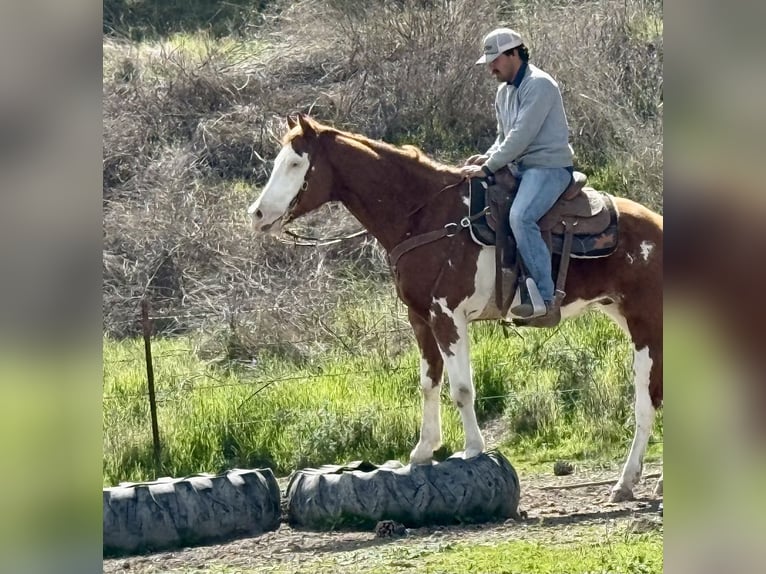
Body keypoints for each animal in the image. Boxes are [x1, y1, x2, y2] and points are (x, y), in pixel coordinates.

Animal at [249, 115, 664, 502]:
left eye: (295, 163)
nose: (256, 214)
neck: (424, 216)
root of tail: (658, 223)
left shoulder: (448, 316)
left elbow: (462, 388)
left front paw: (473, 450)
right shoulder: (420, 318)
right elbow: (429, 383)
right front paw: (423, 451)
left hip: (646, 325)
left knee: (647, 403)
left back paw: (626, 483)